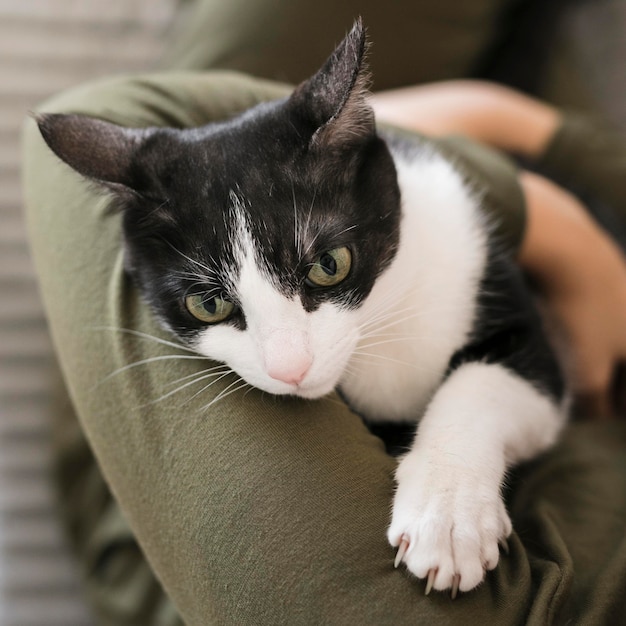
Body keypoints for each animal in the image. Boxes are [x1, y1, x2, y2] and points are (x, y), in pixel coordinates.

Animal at [35, 18, 564, 596]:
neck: (376, 330)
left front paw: (446, 519)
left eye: (329, 264)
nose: (291, 368)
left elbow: (488, 380)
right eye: (209, 303)